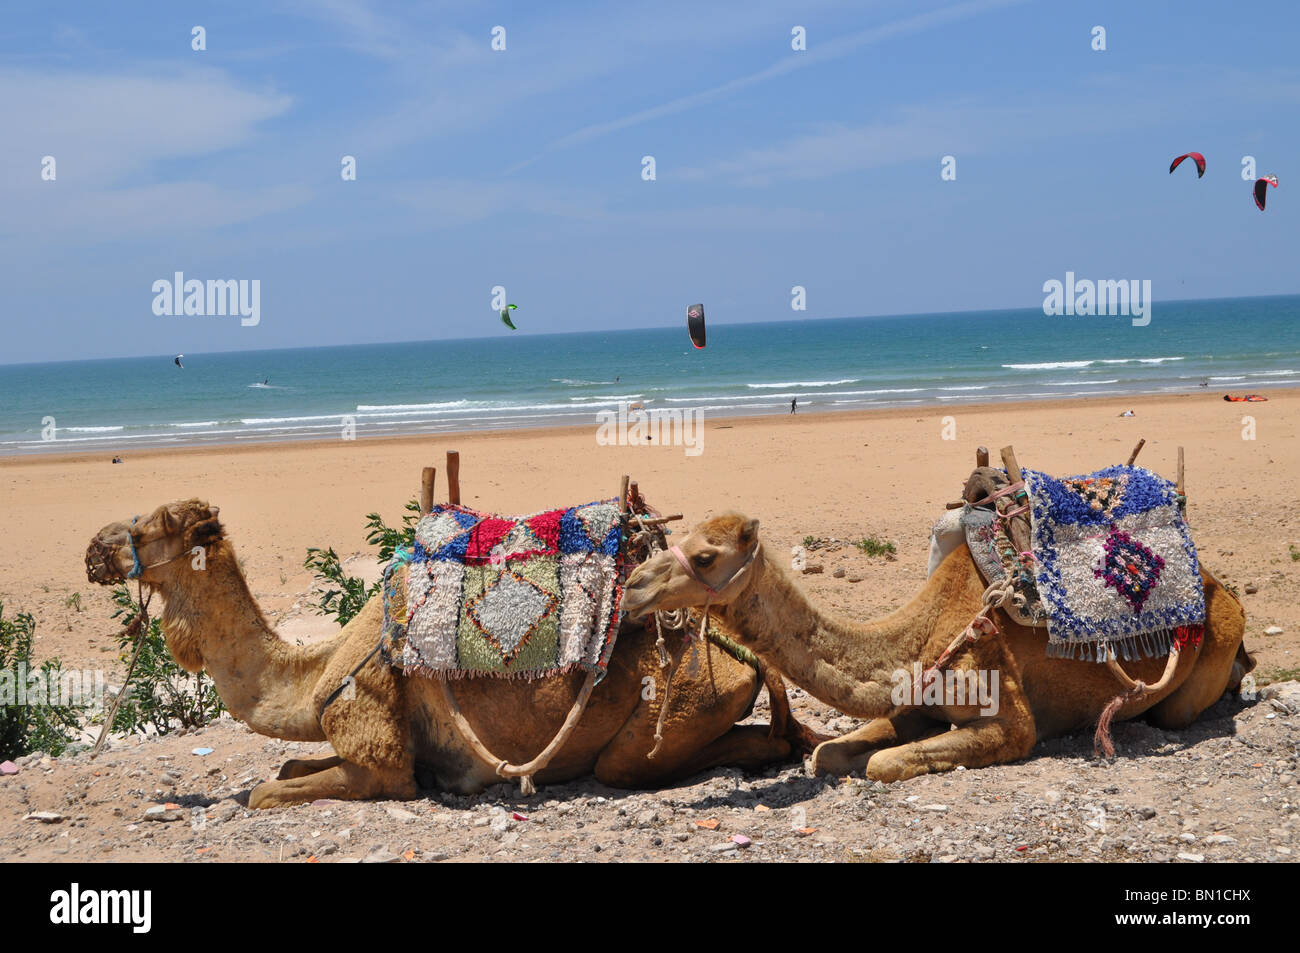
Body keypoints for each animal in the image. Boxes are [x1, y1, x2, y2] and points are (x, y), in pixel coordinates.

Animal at [81, 501, 811, 806]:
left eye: (154, 524)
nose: (95, 548)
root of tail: (740, 654)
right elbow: (286, 762)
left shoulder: (379, 759)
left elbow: (266, 790)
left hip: (681, 699)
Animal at [624, 512, 1253, 780]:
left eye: (706, 556)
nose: (632, 584)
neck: (921, 636)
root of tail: (1223, 590)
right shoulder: (914, 703)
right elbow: (829, 753)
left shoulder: (1012, 717)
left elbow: (881, 763)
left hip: (1201, 664)